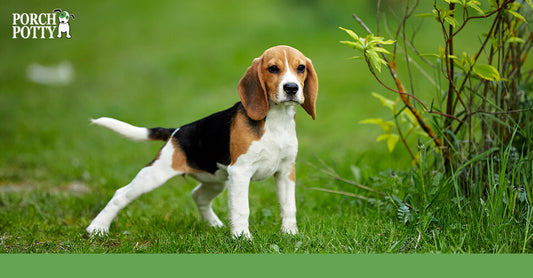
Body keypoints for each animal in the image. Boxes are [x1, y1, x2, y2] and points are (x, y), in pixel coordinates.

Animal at [87, 45, 318, 239]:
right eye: (273, 68)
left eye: (300, 68)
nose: (291, 88)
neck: (277, 120)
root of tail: (176, 131)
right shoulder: (240, 172)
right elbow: (241, 208)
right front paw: (242, 238)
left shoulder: (286, 171)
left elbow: (288, 206)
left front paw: (290, 234)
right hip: (155, 174)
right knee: (121, 194)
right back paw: (97, 228)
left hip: (216, 180)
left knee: (198, 195)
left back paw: (214, 224)